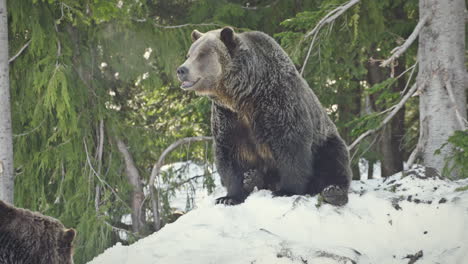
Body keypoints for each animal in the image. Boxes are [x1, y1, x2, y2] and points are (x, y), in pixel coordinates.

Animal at [176, 26, 352, 206]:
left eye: (202, 54)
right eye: (189, 54)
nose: (181, 70)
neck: (243, 95)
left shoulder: (278, 102)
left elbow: (291, 144)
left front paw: (287, 190)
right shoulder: (228, 117)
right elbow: (228, 153)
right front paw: (229, 197)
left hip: (325, 140)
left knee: (334, 158)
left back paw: (334, 191)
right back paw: (253, 178)